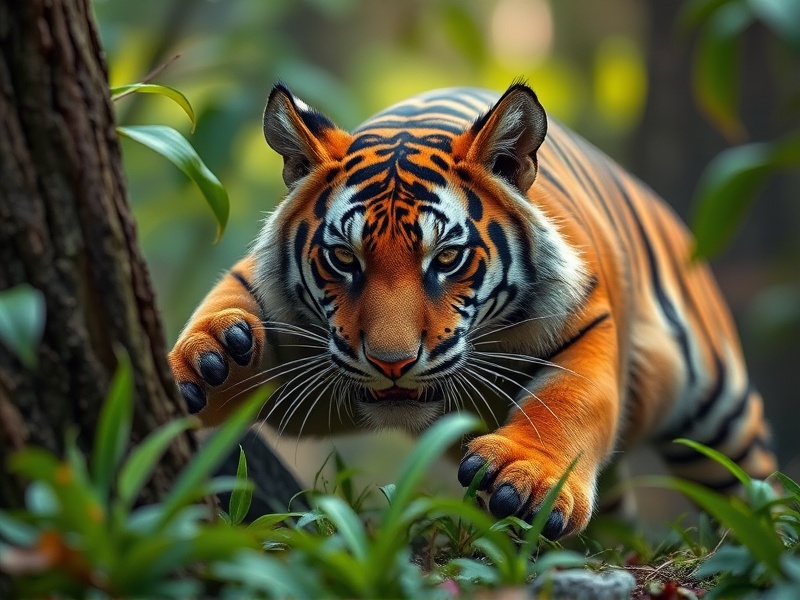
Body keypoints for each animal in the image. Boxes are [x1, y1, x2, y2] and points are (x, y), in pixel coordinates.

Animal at [168, 82, 777, 538]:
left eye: (446, 258)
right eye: (344, 258)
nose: (391, 363)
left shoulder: (591, 318)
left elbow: (570, 401)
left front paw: (524, 477)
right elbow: (227, 303)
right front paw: (207, 360)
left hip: (720, 409)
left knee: (751, 478)